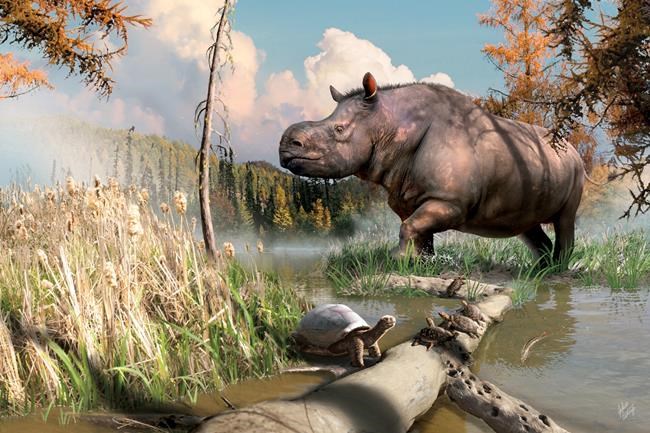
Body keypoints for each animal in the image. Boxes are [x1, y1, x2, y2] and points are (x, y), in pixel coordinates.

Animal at [279, 72, 585, 265]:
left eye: (339, 129)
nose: (285, 147)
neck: (391, 125)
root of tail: (571, 147)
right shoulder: (407, 195)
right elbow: (416, 230)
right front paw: (420, 265)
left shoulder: (451, 202)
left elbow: (410, 227)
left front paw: (398, 259)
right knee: (528, 225)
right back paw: (540, 270)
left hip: (576, 167)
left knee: (565, 219)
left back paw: (558, 269)